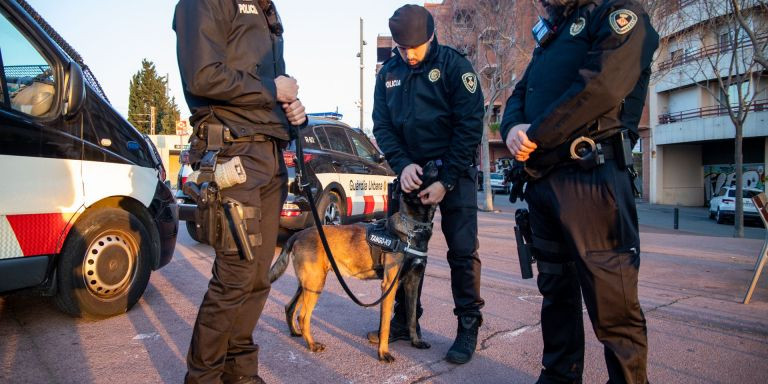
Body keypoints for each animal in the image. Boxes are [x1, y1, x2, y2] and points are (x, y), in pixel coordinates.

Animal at [268, 160, 438, 362]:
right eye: (419, 172)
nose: (434, 161)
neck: (412, 230)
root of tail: (298, 234)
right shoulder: (389, 285)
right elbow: (385, 326)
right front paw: (383, 353)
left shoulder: (412, 283)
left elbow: (411, 317)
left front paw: (416, 342)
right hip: (315, 283)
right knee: (303, 316)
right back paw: (312, 344)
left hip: (309, 283)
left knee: (290, 307)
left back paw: (296, 333)